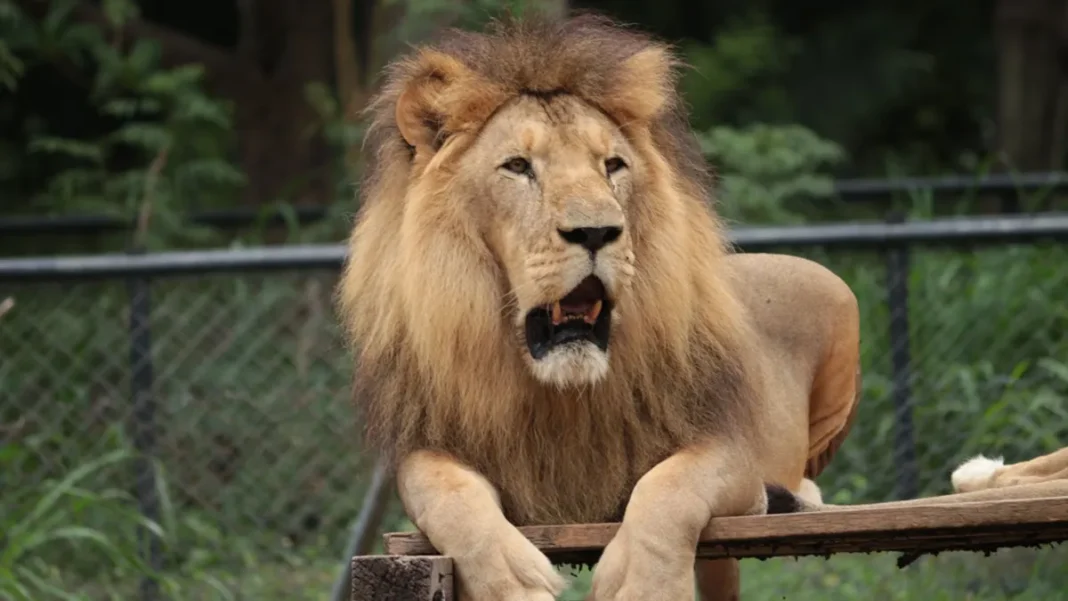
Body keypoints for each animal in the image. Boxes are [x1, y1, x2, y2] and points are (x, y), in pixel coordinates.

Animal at [336, 14, 863, 601]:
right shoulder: (429, 446)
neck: (562, 392)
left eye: (613, 165)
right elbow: (447, 493)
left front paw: (647, 584)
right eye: (517, 166)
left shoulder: (731, 455)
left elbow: (669, 487)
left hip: (833, 292)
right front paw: (510, 582)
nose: (596, 231)